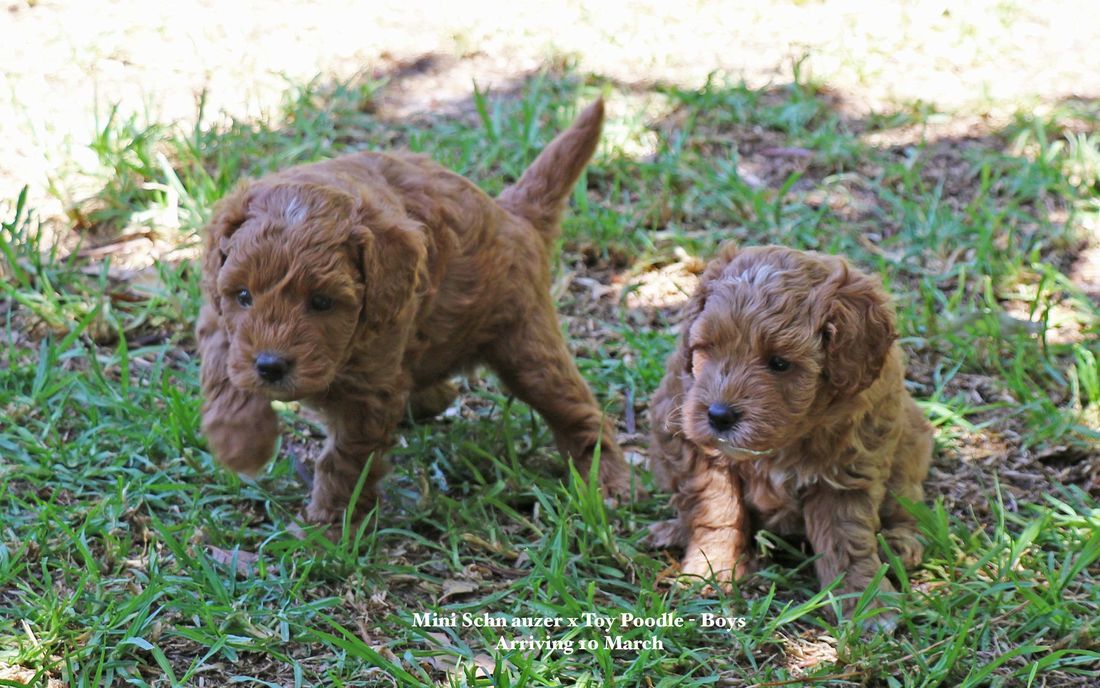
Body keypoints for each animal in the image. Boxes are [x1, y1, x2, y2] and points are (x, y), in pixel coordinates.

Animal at [193, 99, 633, 523]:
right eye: (243, 295)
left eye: (321, 302)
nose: (270, 367)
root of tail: (514, 214)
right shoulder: (219, 321)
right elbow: (223, 374)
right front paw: (240, 442)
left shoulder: (369, 388)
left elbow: (346, 460)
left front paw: (331, 525)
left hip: (527, 343)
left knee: (575, 408)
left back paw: (608, 483)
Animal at [646, 244, 932, 620]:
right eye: (707, 348)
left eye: (779, 363)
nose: (719, 416)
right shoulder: (693, 446)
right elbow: (716, 512)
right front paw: (711, 571)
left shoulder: (847, 470)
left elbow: (847, 539)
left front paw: (864, 602)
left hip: (910, 450)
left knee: (905, 509)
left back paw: (899, 544)